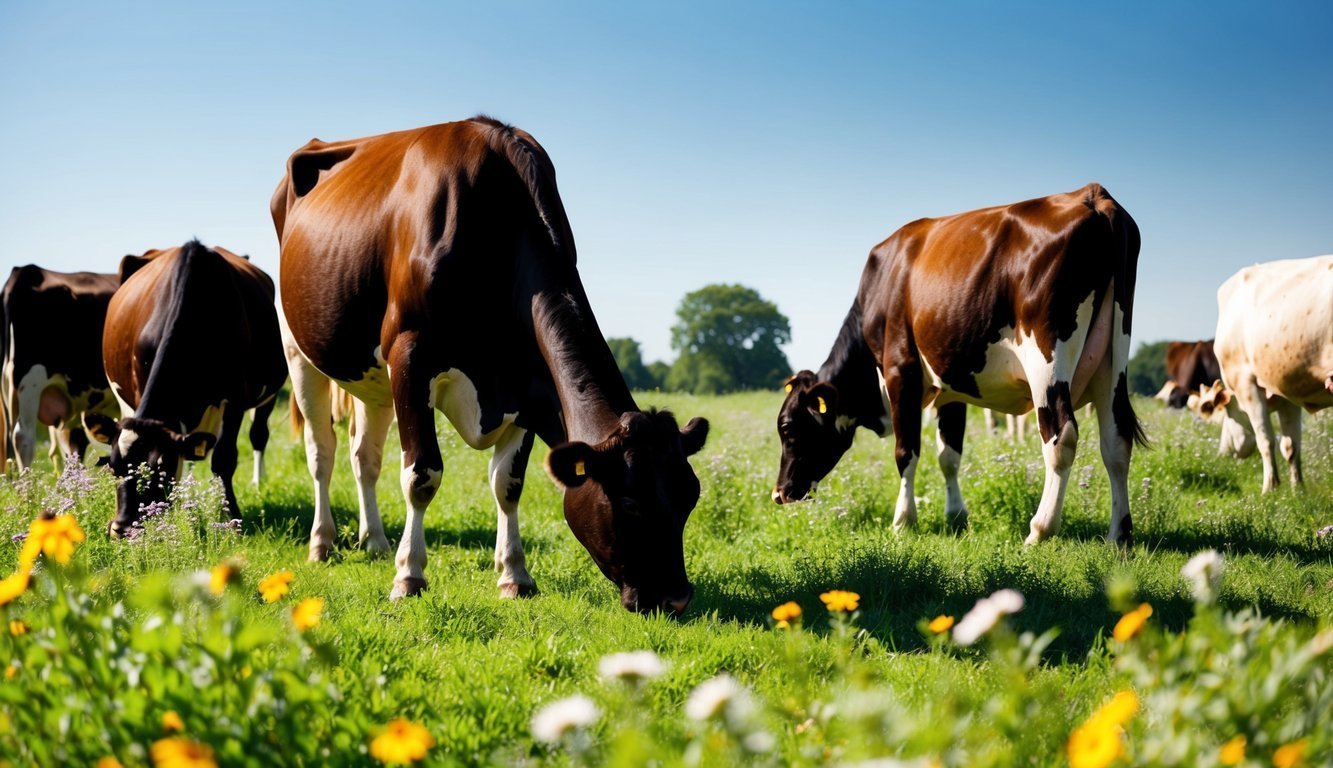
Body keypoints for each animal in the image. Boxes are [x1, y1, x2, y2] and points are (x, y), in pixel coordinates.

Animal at [82, 241, 286, 536]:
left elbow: (224, 459)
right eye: (113, 467)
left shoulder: (235, 399)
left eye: (159, 471)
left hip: (266, 397)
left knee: (258, 436)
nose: (121, 527)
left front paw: (232, 520)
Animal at [272, 116, 709, 613]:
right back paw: (323, 542)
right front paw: (410, 576)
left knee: (365, 456)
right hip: (300, 352)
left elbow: (508, 484)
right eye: (631, 502)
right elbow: (422, 474)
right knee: (321, 451)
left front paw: (515, 575)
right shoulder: (410, 355)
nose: (676, 597)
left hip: (372, 376)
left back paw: (376, 542)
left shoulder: (527, 384)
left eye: (690, 496)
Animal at [773, 184, 1145, 546]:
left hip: (1047, 358)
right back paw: (1119, 535)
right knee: (1116, 439)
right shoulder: (951, 387)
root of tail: (1092, 195)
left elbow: (906, 452)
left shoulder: (900, 371)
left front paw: (903, 521)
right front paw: (956, 516)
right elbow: (949, 456)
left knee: (1060, 435)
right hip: (1113, 358)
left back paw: (1040, 530)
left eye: (788, 427)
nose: (779, 493)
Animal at [1188, 256, 1333, 491]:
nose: (1222, 452)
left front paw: (1269, 488)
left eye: (1226, 417)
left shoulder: (1246, 384)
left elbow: (1265, 440)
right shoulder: (1287, 394)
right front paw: (1298, 490)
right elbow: (1291, 445)